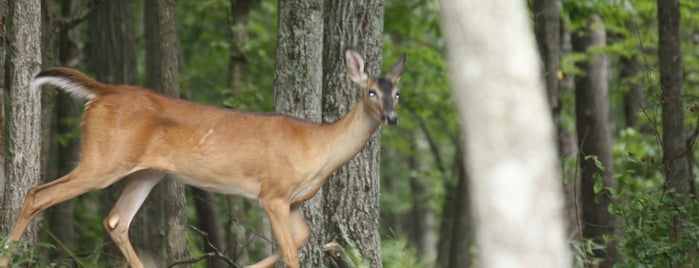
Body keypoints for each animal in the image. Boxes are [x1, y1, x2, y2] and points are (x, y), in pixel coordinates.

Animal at [1, 50, 404, 268]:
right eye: (371, 91)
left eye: (396, 93)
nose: (392, 118)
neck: (318, 147)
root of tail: (102, 92)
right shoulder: (273, 192)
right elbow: (291, 253)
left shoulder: (295, 201)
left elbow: (302, 240)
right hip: (104, 158)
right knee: (38, 194)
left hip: (146, 172)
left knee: (116, 220)